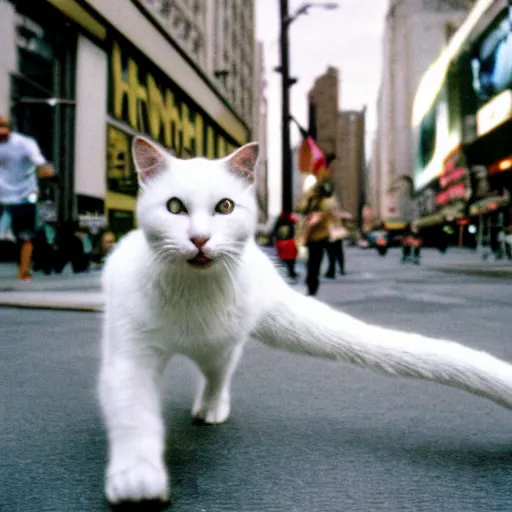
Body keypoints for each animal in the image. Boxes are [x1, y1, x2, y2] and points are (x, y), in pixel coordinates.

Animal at [100, 136, 512, 504]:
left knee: (218, 375)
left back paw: (211, 408)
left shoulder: (219, 343)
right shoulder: (131, 353)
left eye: (225, 206)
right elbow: (135, 412)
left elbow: (215, 380)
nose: (199, 239)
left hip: (221, 344)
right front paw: (137, 477)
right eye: (174, 206)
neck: (191, 292)